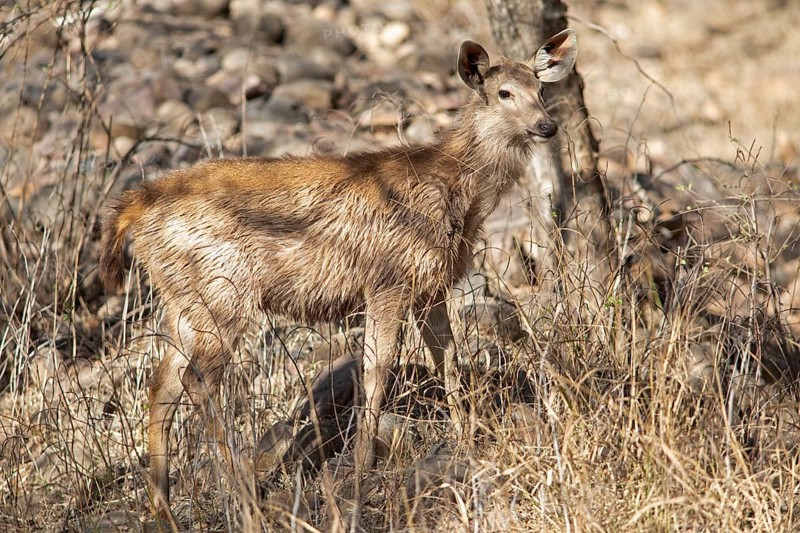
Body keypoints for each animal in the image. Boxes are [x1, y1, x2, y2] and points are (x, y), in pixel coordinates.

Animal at [99, 29, 577, 523]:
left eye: (540, 90)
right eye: (503, 93)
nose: (547, 126)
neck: (454, 189)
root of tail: (136, 207)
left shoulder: (431, 286)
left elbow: (446, 358)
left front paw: (467, 435)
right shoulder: (389, 278)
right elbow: (376, 370)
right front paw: (362, 468)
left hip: (184, 299)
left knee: (163, 384)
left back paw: (165, 509)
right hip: (222, 291)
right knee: (197, 382)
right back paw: (247, 499)